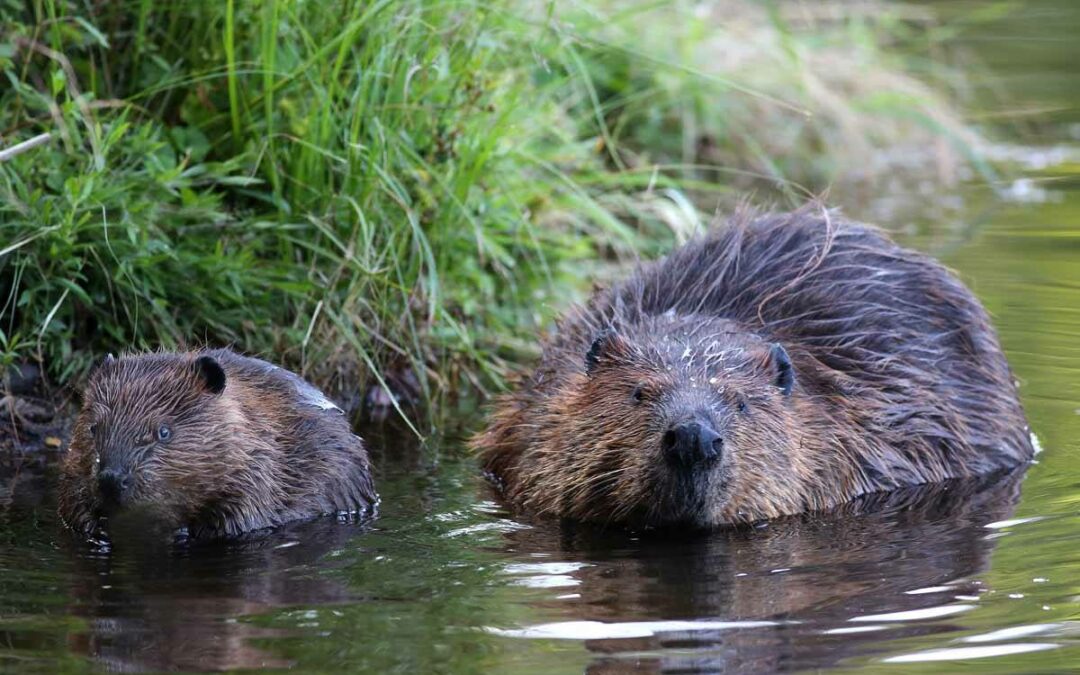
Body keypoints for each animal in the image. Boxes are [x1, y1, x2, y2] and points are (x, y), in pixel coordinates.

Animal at [61, 349, 380, 540]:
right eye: (93, 428)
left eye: (163, 432)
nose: (111, 479)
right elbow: (72, 507)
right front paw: (99, 529)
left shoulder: (260, 466)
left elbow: (238, 521)